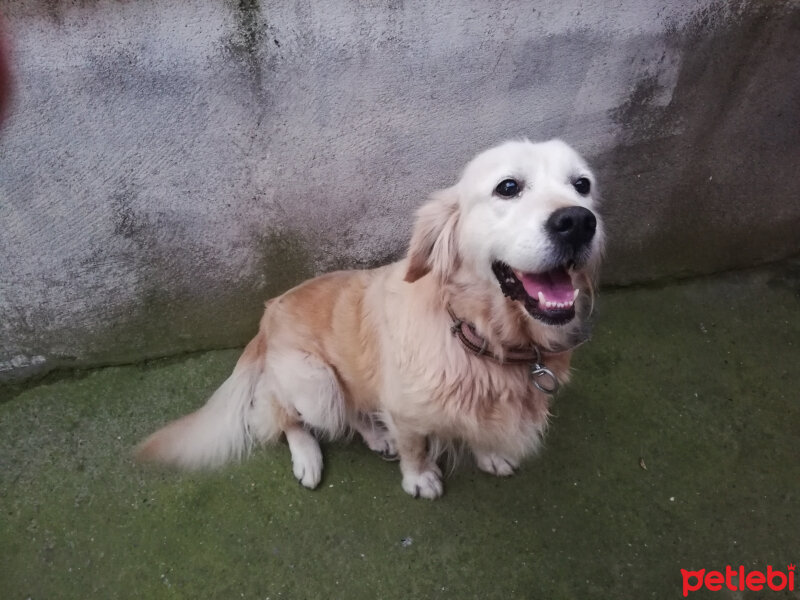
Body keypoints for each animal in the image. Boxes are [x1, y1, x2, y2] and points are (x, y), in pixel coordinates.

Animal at [138, 139, 604, 496]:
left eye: (582, 185)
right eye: (508, 187)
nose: (579, 221)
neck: (482, 340)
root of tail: (267, 315)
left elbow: (478, 430)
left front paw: (489, 454)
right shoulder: (406, 409)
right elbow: (415, 446)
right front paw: (420, 479)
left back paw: (377, 436)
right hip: (315, 384)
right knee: (282, 413)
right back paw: (308, 456)